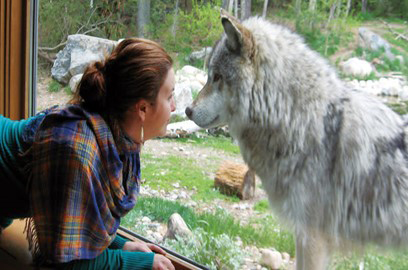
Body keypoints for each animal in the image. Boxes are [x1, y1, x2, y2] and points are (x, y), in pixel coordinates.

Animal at [186, 9, 408, 268]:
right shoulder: (303, 232)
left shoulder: (312, 236)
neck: (296, 116)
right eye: (209, 76)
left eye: (217, 77)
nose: (187, 110)